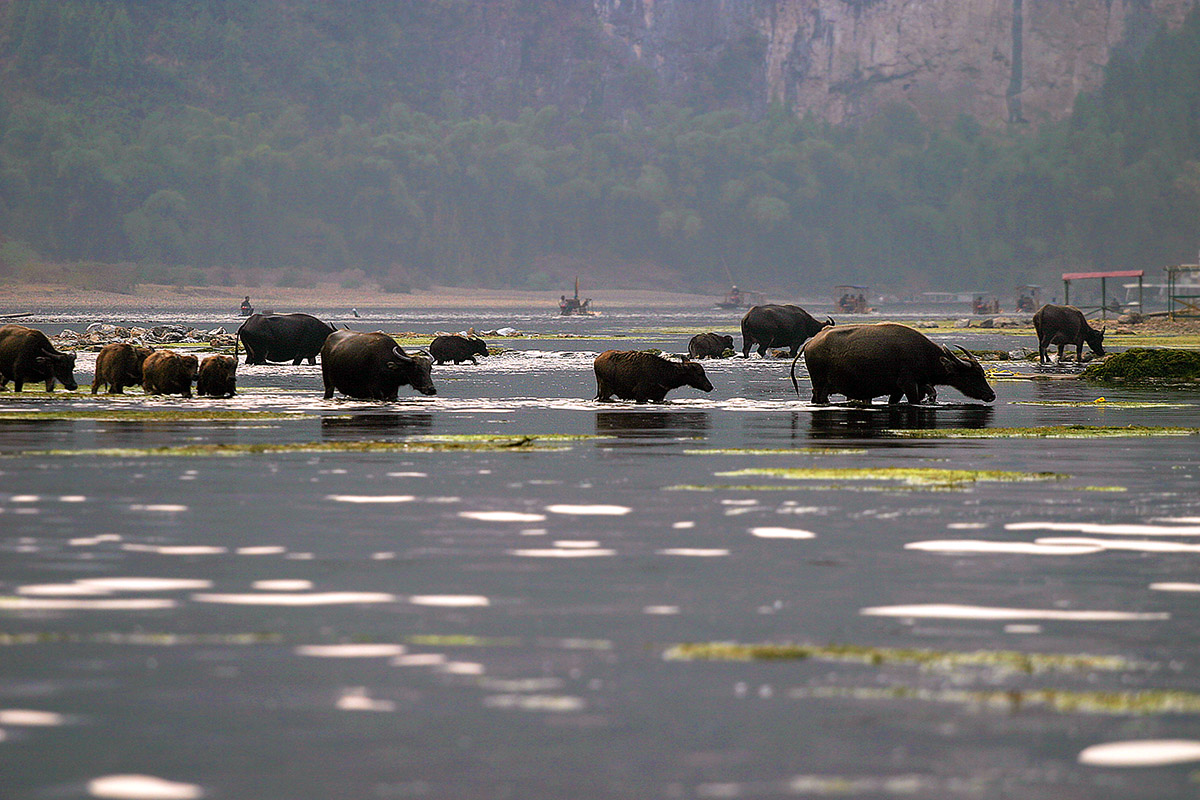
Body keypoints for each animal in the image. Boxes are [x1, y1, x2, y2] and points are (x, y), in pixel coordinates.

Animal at [796, 321, 993, 402]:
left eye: (982, 373)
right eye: (972, 374)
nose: (991, 395)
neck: (924, 355)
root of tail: (810, 343)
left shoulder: (898, 390)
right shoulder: (908, 384)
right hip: (820, 386)